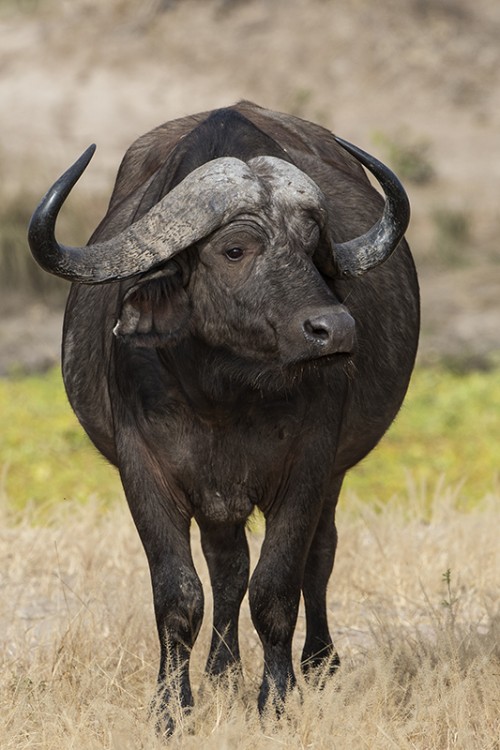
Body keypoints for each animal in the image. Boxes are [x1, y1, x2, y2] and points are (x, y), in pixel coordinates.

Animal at [27, 103, 418, 732]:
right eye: (235, 250)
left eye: (312, 246)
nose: (334, 329)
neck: (222, 393)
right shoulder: (146, 470)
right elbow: (180, 595)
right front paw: (171, 708)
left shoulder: (309, 466)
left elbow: (277, 589)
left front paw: (276, 702)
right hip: (217, 502)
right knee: (227, 566)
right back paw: (222, 671)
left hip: (329, 477)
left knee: (318, 557)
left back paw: (318, 664)